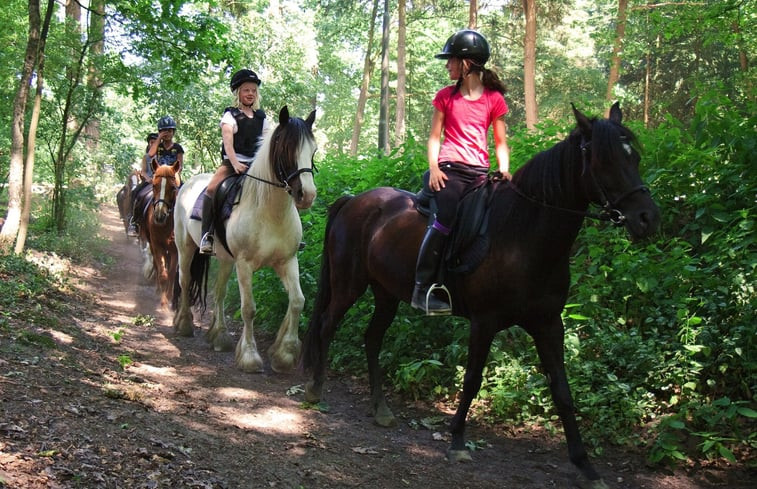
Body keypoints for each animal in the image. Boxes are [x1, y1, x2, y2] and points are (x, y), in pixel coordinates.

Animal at [140, 159, 180, 304]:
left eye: (173, 187)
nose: (159, 216)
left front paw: (168, 298)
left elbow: (172, 274)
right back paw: (158, 290)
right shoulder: (157, 245)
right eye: (154, 185)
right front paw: (162, 301)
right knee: (158, 267)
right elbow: (163, 273)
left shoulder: (175, 250)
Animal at [300, 102, 656, 484]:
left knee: (372, 338)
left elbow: (562, 391)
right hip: (349, 284)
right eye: (605, 160)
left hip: (386, 293)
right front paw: (457, 441)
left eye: (635, 157)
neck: (523, 234)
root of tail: (354, 200)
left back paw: (380, 409)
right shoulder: (484, 322)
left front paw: (585, 465)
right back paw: (315, 389)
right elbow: (472, 380)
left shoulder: (548, 324)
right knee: (327, 326)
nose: (647, 218)